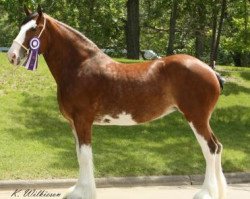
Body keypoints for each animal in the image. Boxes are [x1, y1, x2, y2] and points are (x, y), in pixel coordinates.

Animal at [7, 5, 227, 199]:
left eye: (34, 29)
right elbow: (79, 155)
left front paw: (83, 193)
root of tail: (211, 71)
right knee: (217, 146)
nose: (11, 56)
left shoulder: (83, 121)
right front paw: (77, 190)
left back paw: (205, 193)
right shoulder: (74, 123)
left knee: (210, 148)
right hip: (202, 120)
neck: (80, 67)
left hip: (196, 118)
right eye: (20, 26)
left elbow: (85, 156)